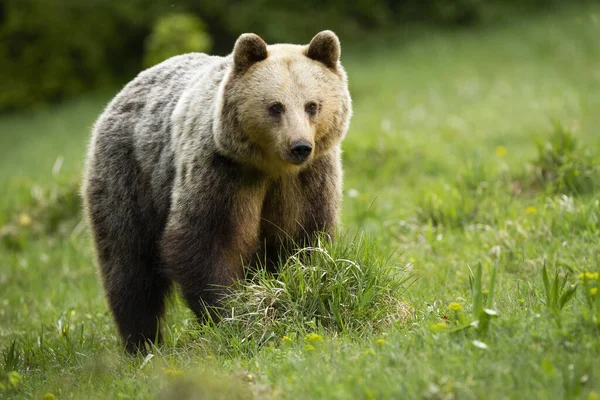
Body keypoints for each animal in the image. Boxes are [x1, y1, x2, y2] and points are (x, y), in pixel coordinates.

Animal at [80, 29, 352, 352]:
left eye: (312, 105)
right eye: (275, 107)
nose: (299, 146)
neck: (271, 168)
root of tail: (125, 90)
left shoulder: (306, 181)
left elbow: (306, 239)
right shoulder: (222, 173)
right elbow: (203, 241)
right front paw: (231, 313)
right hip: (129, 179)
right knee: (129, 267)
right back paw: (142, 344)